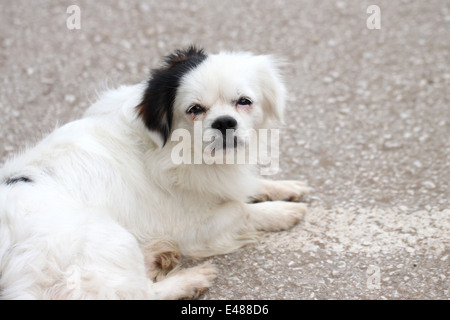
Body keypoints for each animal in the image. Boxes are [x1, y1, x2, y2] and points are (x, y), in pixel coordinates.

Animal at [0, 46, 310, 298]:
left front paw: (286, 188)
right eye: (195, 109)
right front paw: (281, 212)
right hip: (110, 237)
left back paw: (156, 255)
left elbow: (248, 186)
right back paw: (189, 279)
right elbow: (239, 209)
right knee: (137, 294)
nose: (224, 122)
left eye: (244, 101)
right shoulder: (191, 228)